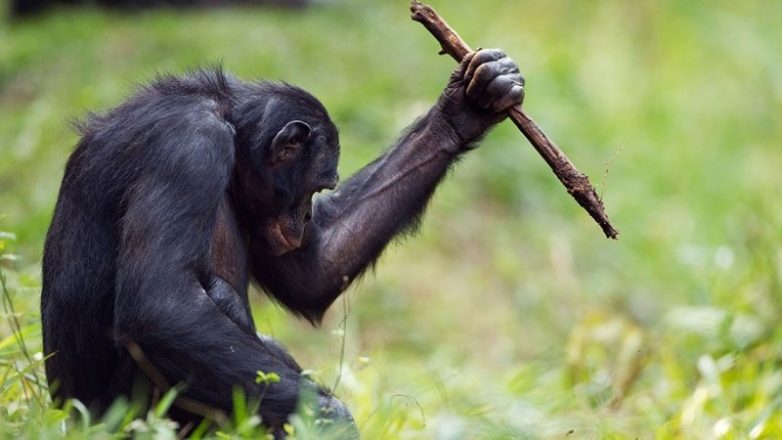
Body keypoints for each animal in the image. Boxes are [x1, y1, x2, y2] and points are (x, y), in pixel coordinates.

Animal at [39, 49, 524, 436]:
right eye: (314, 186)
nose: (306, 215)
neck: (227, 121)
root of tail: (69, 417)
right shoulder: (189, 149)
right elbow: (161, 305)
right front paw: (330, 422)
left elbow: (315, 271)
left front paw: (467, 105)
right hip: (129, 417)